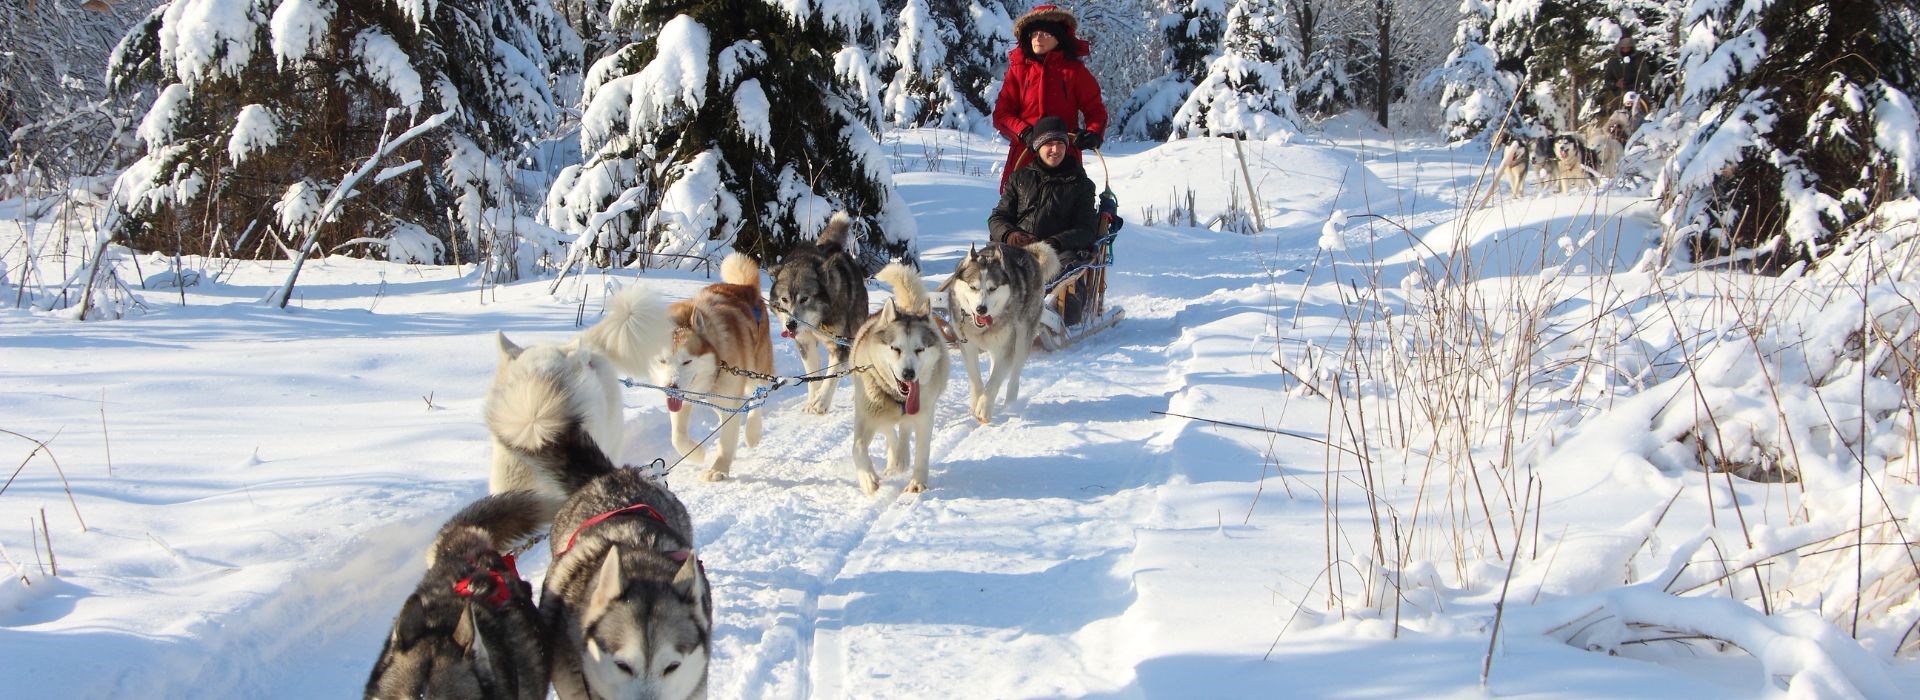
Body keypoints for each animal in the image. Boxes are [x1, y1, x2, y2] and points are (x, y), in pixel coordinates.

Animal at [656, 253, 775, 479]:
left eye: (687, 361)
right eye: (662, 361)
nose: (671, 388)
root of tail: (745, 287)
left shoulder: (731, 402)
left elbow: (726, 438)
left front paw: (718, 468)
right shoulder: (683, 399)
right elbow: (677, 437)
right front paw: (697, 453)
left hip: (756, 370)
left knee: (759, 395)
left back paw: (752, 433)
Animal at [771, 210, 879, 412]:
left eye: (805, 298)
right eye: (784, 299)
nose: (790, 325)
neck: (818, 321)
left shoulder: (840, 345)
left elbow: (832, 375)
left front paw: (821, 401)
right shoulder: (805, 343)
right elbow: (813, 376)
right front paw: (812, 399)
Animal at [848, 258, 952, 494]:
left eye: (919, 349)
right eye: (895, 348)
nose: (908, 373)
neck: (899, 398)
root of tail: (908, 308)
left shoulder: (924, 415)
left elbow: (921, 450)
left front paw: (917, 482)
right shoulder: (866, 415)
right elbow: (857, 447)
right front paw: (868, 479)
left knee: (904, 428)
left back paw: (901, 458)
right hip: (876, 410)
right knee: (890, 430)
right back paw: (894, 458)